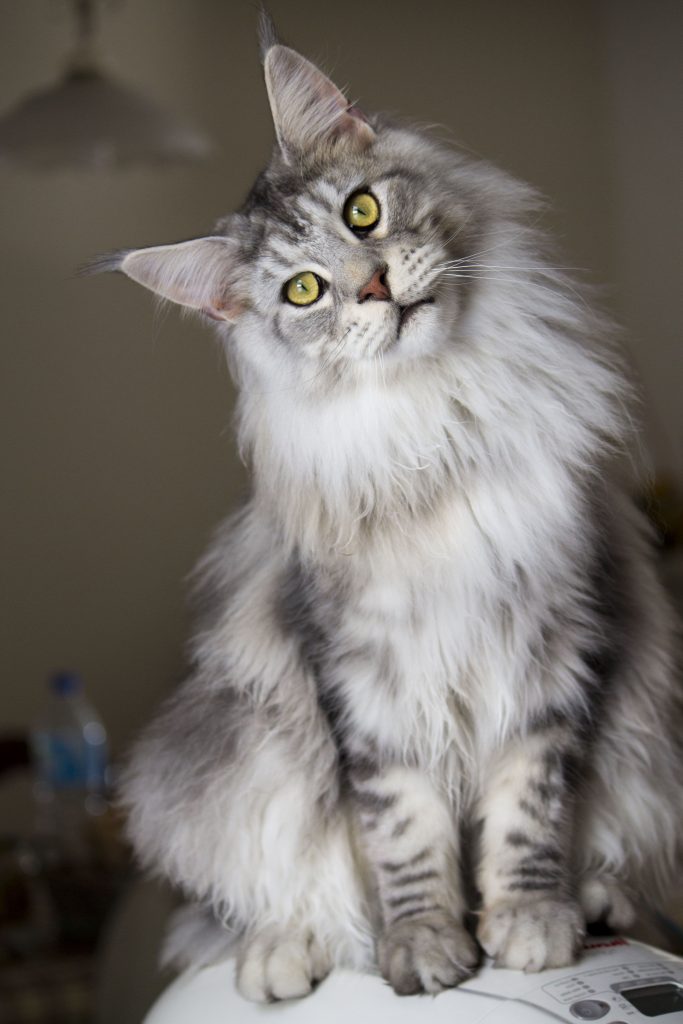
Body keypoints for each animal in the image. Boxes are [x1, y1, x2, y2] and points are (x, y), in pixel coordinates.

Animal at [97, 12, 683, 1003]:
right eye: (302, 291)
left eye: (361, 213)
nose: (371, 286)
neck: (435, 426)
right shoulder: (361, 682)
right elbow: (403, 832)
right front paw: (427, 948)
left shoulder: (560, 642)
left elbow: (529, 809)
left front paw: (527, 923)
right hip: (243, 760)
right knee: (262, 901)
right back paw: (279, 957)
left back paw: (595, 902)